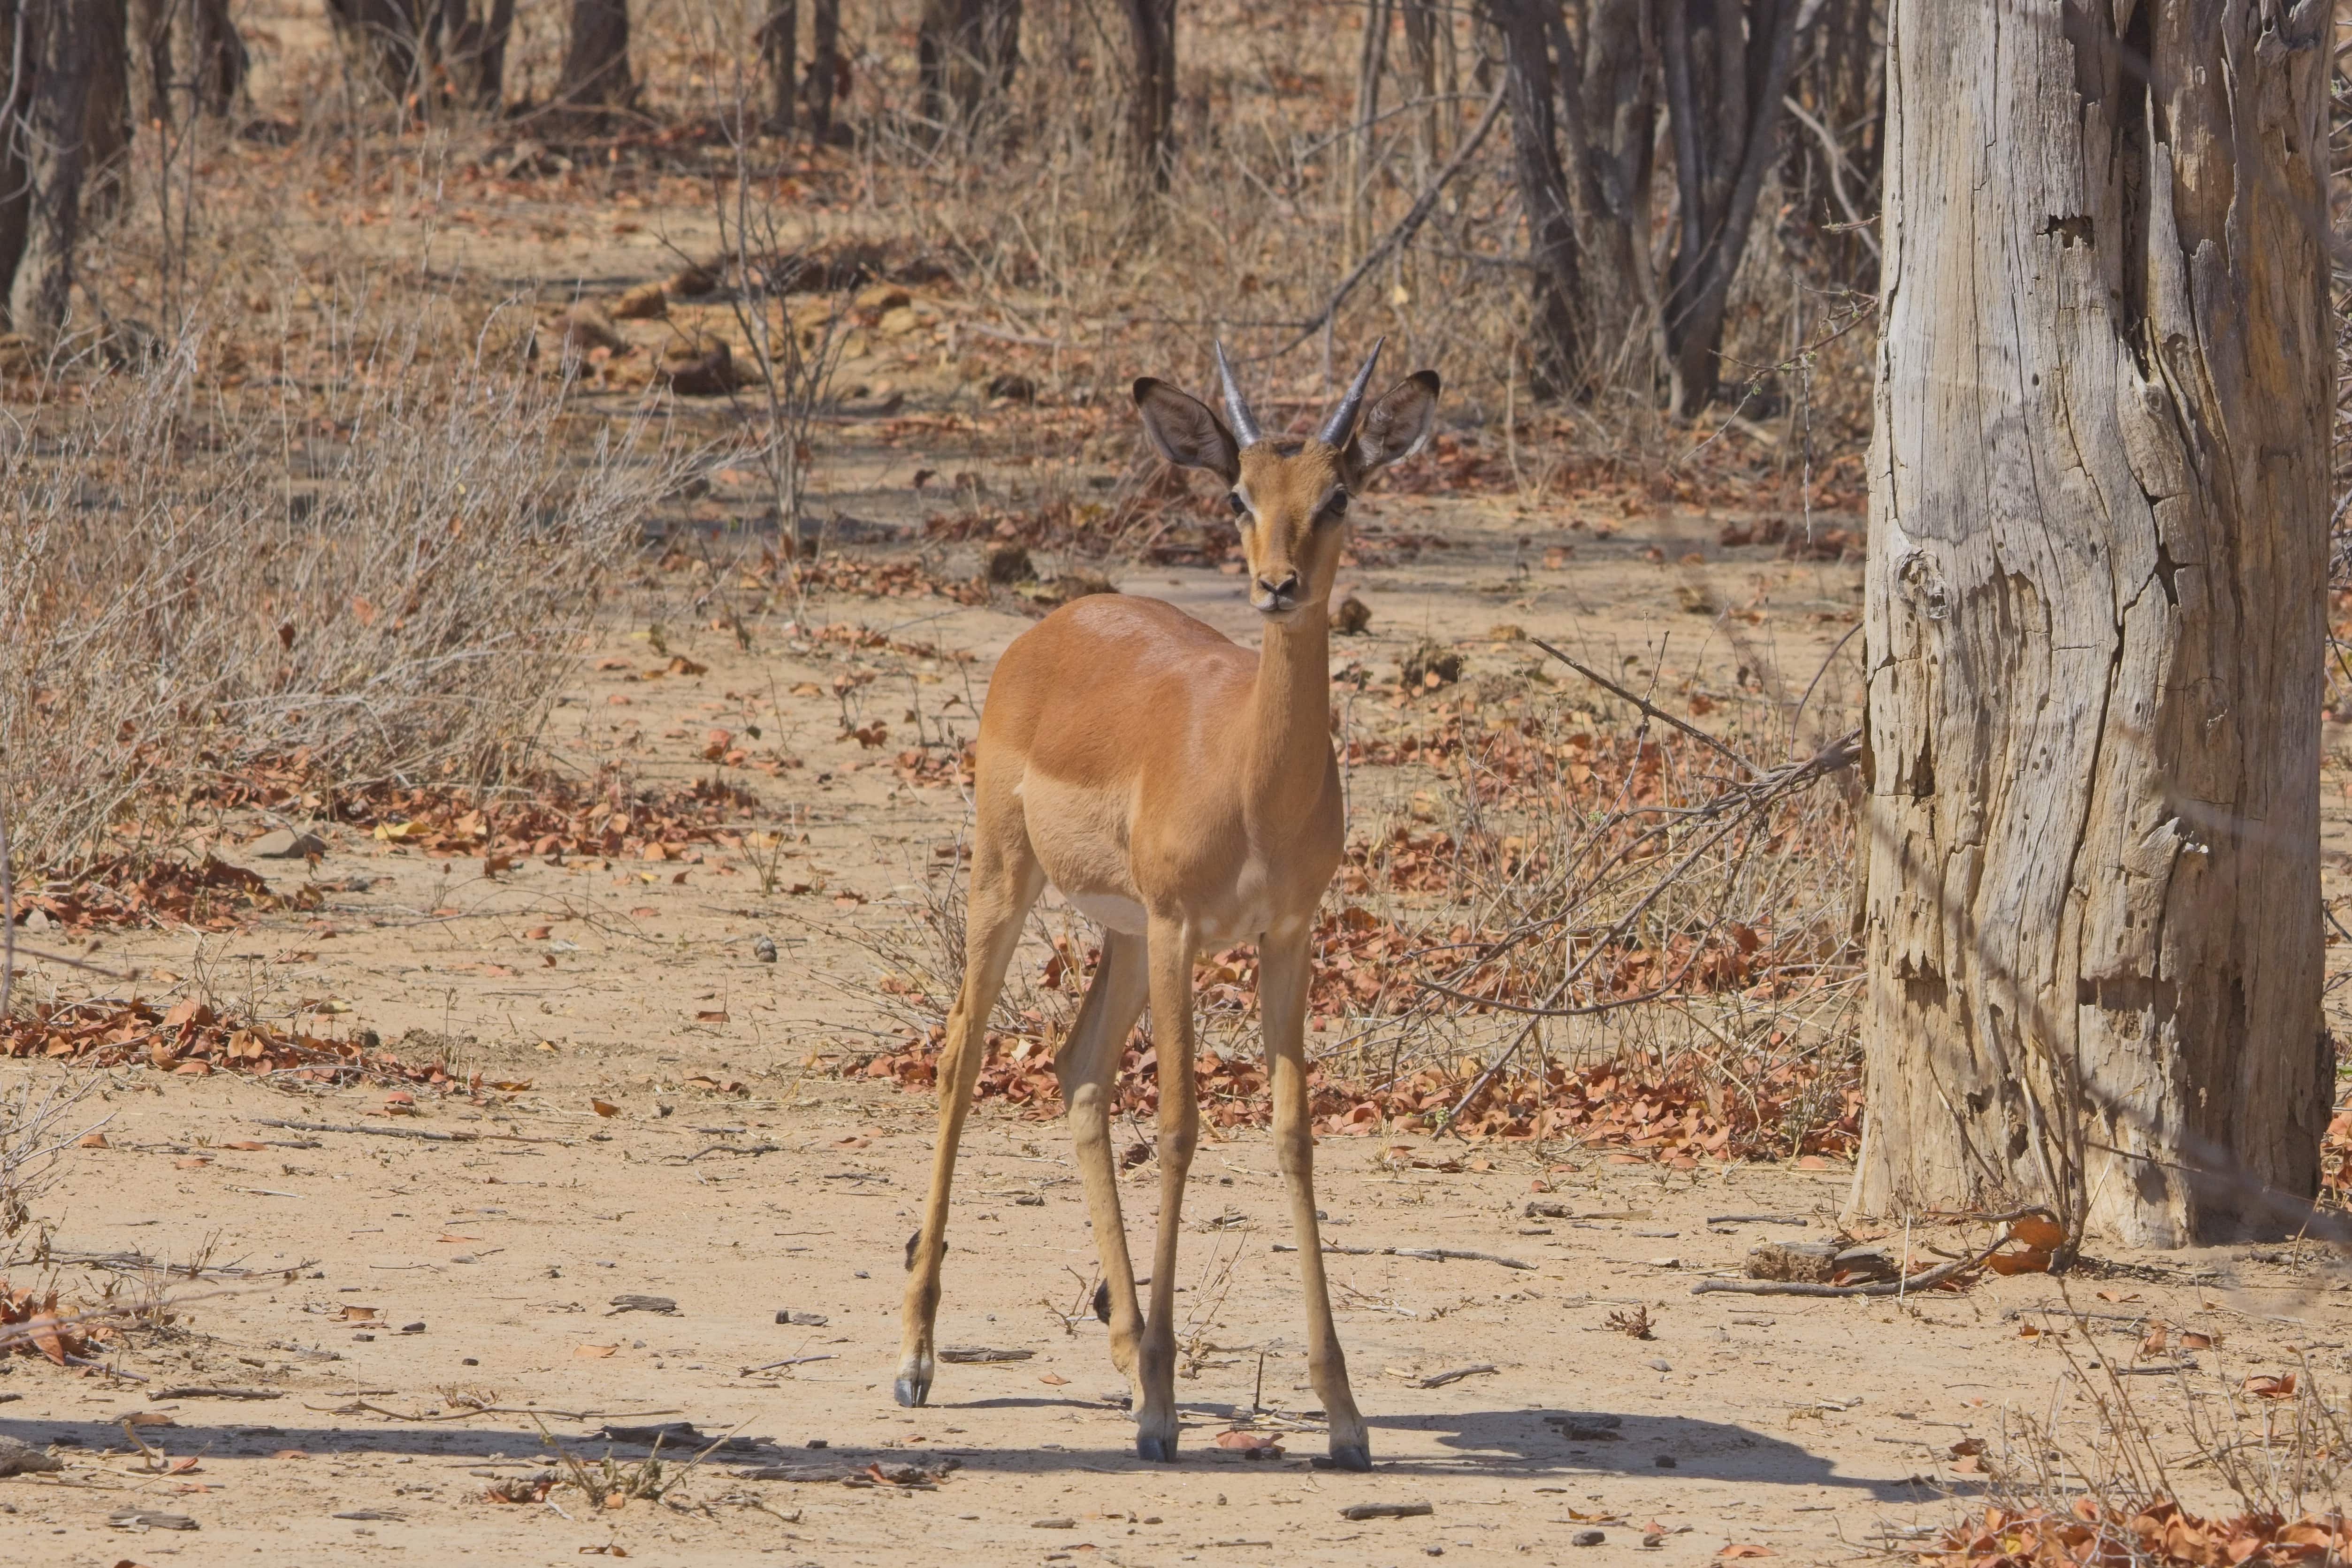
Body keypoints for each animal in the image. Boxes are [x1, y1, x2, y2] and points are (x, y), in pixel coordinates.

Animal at [893, 343, 1430, 1476]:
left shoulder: (1286, 937)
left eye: (1338, 493)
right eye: (1237, 496)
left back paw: (1122, 1345)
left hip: (1125, 934)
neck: (1251, 775)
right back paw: (918, 1357)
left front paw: (1344, 1415)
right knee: (963, 1055)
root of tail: (1052, 626)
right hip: (1010, 881)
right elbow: (1182, 1126)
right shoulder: (1188, 930)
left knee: (1077, 1069)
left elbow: (1292, 1133)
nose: (1277, 586)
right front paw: (1162, 1413)